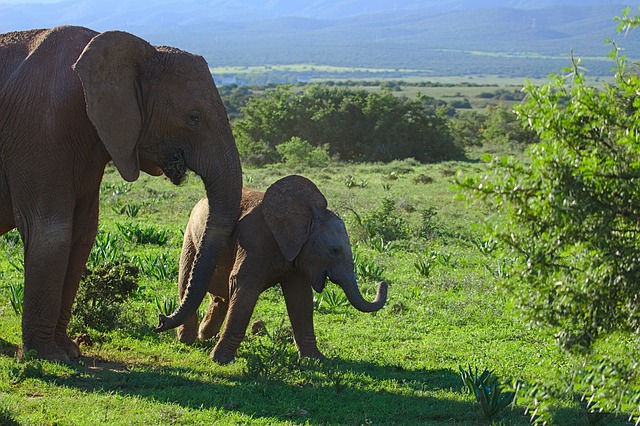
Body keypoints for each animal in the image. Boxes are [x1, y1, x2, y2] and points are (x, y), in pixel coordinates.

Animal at [0, 25, 242, 362]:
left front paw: (69, 351)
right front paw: (48, 356)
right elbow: (51, 234)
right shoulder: (40, 127)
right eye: (193, 117)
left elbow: (82, 236)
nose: (160, 320)